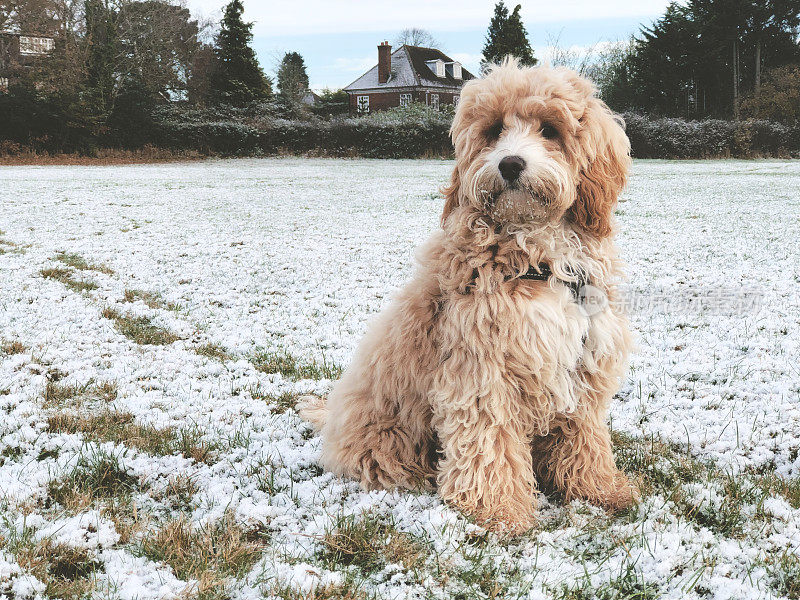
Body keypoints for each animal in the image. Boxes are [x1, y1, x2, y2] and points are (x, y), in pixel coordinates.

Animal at [300, 58, 636, 532]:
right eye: (494, 130)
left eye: (550, 129)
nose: (510, 164)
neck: (536, 259)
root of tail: (334, 420)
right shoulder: (482, 369)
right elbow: (488, 439)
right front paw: (499, 509)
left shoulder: (584, 363)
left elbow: (584, 436)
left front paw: (599, 489)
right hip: (388, 436)